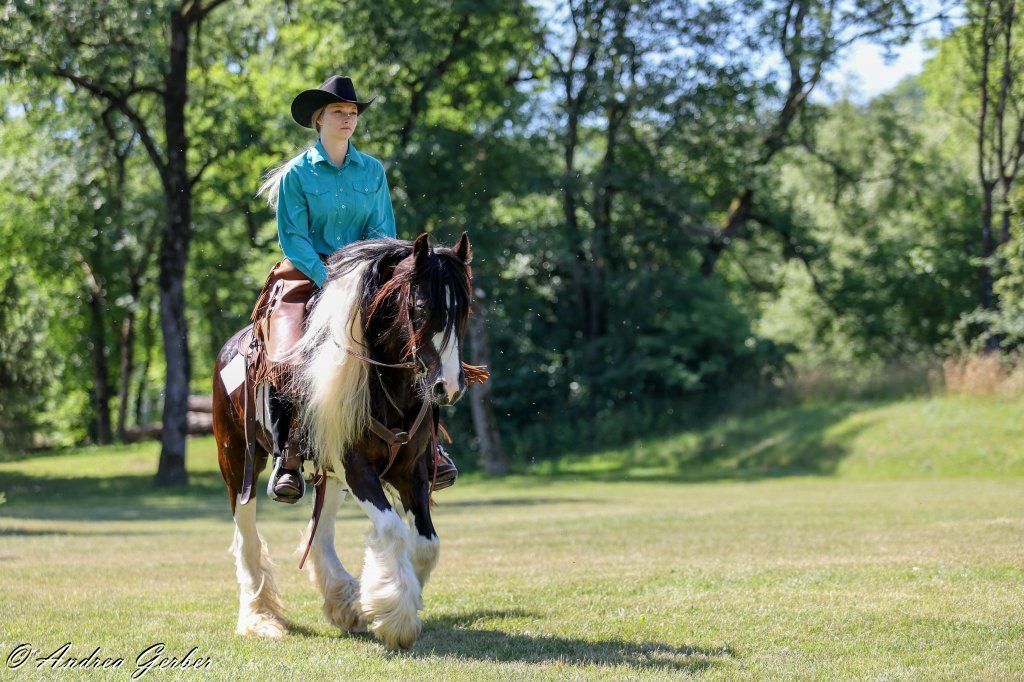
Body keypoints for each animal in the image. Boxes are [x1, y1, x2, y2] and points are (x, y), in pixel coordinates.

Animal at [212, 232, 479, 649]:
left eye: (464, 309)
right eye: (421, 306)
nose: (447, 387)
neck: (385, 386)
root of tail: (230, 349)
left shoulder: (413, 471)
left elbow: (426, 544)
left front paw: (391, 599)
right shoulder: (356, 467)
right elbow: (392, 530)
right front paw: (396, 618)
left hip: (329, 475)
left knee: (320, 532)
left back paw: (344, 602)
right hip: (238, 462)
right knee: (247, 534)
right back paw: (260, 617)